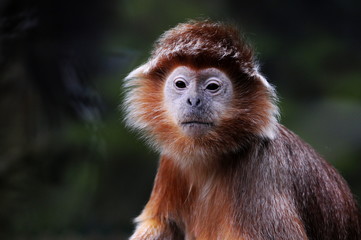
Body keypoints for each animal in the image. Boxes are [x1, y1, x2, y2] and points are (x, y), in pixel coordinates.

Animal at [121, 20, 360, 240]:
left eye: (212, 87)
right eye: (181, 84)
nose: (194, 100)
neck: (208, 155)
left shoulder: (262, 168)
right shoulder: (171, 162)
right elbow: (163, 224)